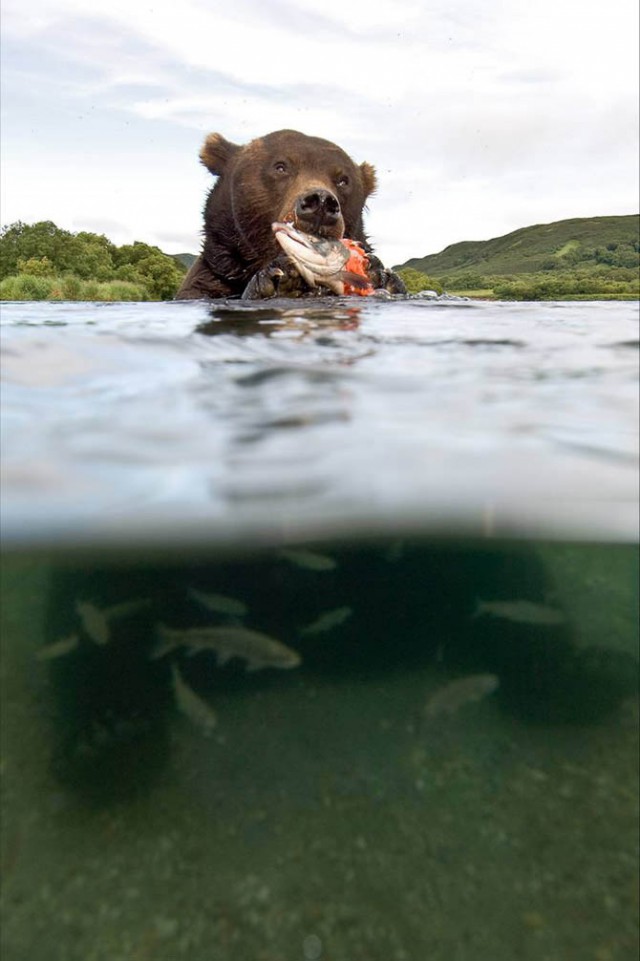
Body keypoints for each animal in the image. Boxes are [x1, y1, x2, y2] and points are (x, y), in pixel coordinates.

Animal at [175, 128, 404, 300]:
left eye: (343, 180)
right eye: (280, 167)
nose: (321, 203)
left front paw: (380, 274)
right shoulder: (209, 282)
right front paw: (277, 278)